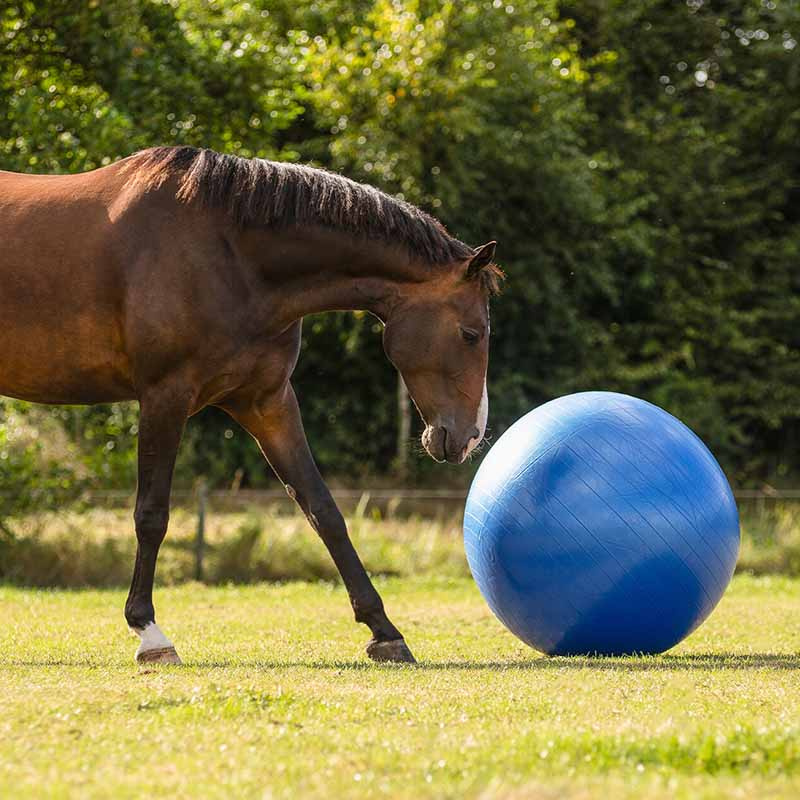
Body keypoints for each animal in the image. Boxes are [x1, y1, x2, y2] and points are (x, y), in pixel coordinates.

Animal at [0, 146, 502, 665]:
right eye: (471, 334)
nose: (470, 436)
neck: (230, 257)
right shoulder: (164, 397)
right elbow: (152, 514)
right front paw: (149, 633)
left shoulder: (267, 403)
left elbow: (323, 510)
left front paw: (385, 631)